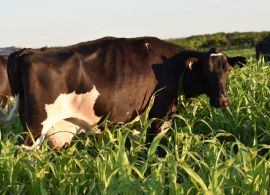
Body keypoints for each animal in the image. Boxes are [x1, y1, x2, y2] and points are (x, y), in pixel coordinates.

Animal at [2, 36, 247, 149]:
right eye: (206, 71)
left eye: (227, 69)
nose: (223, 100)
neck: (172, 65)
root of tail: (26, 52)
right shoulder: (158, 115)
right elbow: (153, 149)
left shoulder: (139, 120)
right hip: (34, 131)